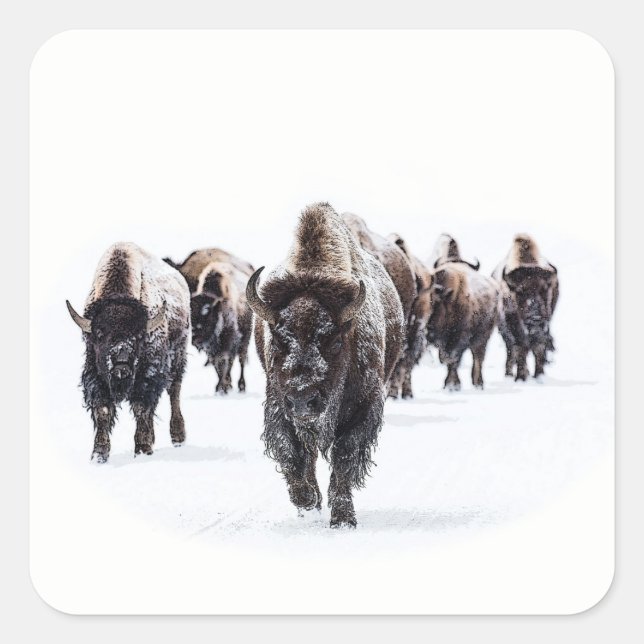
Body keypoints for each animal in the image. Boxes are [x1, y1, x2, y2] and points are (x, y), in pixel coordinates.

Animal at [66, 242, 190, 462]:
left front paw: (142, 449)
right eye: (99, 334)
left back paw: (178, 438)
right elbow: (103, 410)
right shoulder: (95, 374)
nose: (121, 367)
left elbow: (141, 408)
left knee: (174, 392)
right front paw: (99, 454)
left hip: (178, 358)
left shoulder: (148, 375)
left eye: (139, 335)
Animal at [248, 202, 404, 528]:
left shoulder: (364, 407)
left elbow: (345, 457)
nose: (303, 400)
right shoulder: (279, 406)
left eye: (333, 340)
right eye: (278, 338)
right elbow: (291, 453)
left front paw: (343, 519)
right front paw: (307, 502)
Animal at [492, 234, 559, 380]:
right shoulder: (514, 329)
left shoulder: (543, 328)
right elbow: (520, 350)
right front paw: (521, 376)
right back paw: (510, 373)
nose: (535, 317)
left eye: (544, 289)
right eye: (520, 291)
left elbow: (538, 349)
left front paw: (539, 375)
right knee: (512, 350)